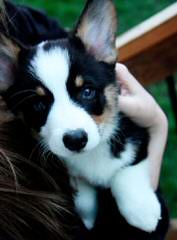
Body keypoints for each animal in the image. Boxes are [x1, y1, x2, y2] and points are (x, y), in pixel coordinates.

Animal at [0, 0, 168, 236]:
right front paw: (87, 216)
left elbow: (126, 169)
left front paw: (142, 211)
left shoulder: (139, 131)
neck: (92, 154)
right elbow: (82, 191)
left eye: (87, 92)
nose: (75, 140)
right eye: (38, 105)